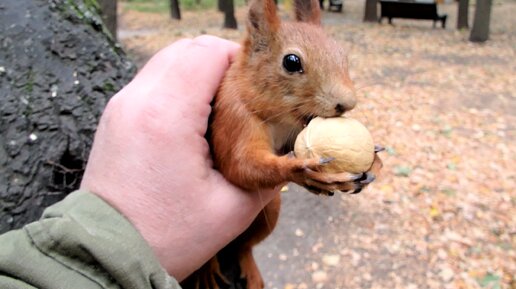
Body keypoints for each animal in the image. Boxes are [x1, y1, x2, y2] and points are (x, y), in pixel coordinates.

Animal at [186, 0, 382, 286]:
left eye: (342, 54)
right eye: (291, 62)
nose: (347, 103)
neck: (279, 119)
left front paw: (375, 159)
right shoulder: (233, 118)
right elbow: (240, 164)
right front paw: (302, 170)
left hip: (270, 212)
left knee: (243, 246)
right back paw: (205, 269)